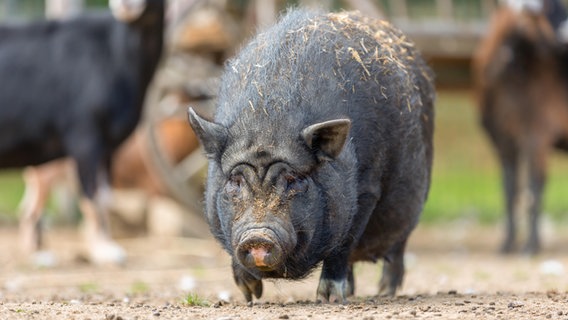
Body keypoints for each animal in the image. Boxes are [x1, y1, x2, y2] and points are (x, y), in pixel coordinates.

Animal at [187, 8, 434, 302]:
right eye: (235, 181)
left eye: (293, 179)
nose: (257, 237)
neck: (269, 122)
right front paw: (250, 295)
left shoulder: (367, 190)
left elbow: (344, 244)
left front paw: (328, 298)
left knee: (396, 250)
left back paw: (384, 292)